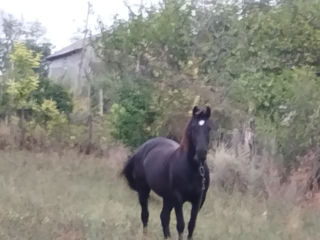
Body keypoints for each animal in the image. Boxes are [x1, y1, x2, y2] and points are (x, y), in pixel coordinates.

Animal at [121, 107, 211, 240]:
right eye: (193, 128)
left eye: (209, 128)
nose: (200, 153)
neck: (192, 169)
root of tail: (141, 149)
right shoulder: (178, 199)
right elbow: (181, 225)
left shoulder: (198, 200)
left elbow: (191, 225)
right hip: (144, 191)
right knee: (145, 215)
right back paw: (145, 235)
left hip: (167, 198)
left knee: (164, 217)